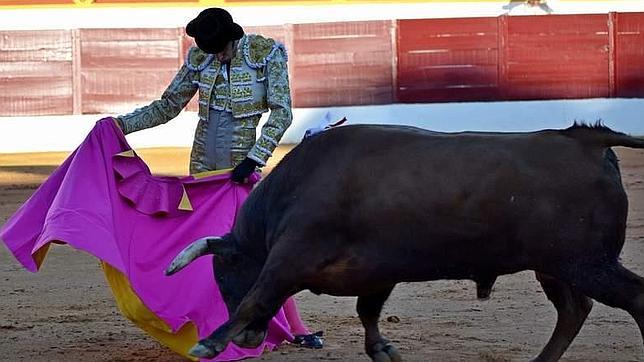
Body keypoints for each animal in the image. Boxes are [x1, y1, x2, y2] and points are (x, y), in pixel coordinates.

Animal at [165, 123, 644, 360]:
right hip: (557, 266)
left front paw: (210, 342)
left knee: (630, 299)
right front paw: (384, 349)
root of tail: (588, 140)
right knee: (574, 310)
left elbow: (258, 295)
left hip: (586, 262)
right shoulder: (376, 274)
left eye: (224, 275)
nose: (248, 341)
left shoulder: (290, 257)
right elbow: (367, 313)